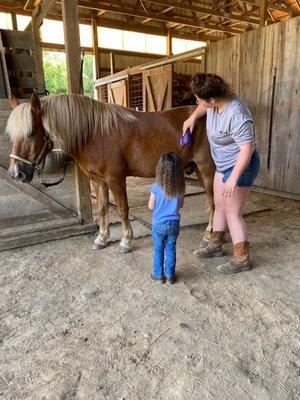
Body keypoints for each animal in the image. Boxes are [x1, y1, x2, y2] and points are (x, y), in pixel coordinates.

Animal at [5, 92, 214, 252]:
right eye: (10, 135)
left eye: (32, 133)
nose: (16, 174)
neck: (94, 134)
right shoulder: (98, 181)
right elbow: (102, 208)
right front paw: (102, 239)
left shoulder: (115, 179)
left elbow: (122, 209)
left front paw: (126, 242)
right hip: (198, 171)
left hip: (207, 171)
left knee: (214, 204)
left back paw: (209, 238)